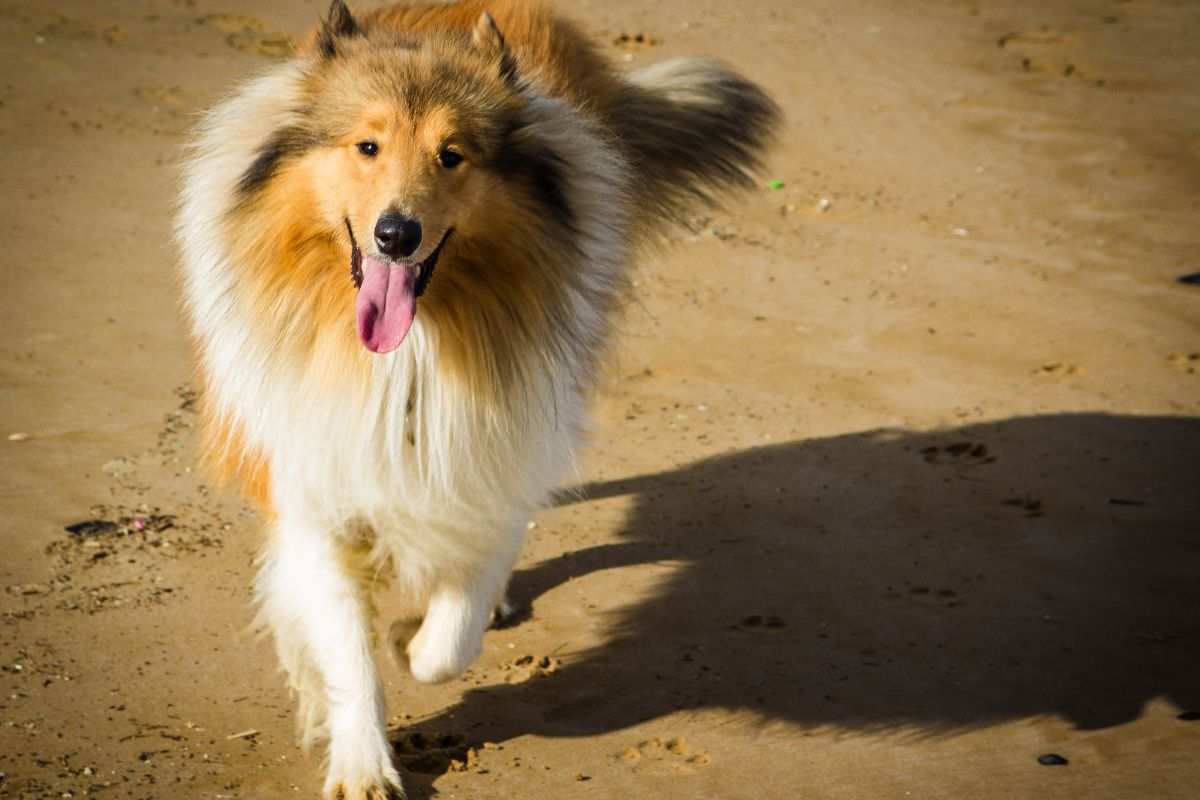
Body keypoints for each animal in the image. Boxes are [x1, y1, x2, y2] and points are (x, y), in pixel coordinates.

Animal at [175, 0, 777, 796]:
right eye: (367, 146)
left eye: (452, 155)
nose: (396, 235)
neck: (412, 352)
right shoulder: (313, 484)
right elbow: (346, 650)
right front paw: (363, 763)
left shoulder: (501, 448)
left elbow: (449, 636)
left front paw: (417, 637)